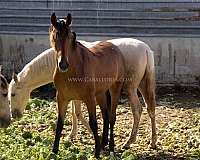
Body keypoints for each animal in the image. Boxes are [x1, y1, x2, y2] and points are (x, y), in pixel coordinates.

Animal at [8, 37, 157, 149]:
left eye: (13, 94)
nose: (14, 115)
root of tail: (145, 49)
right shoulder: (72, 93)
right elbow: (74, 113)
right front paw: (72, 135)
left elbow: (78, 113)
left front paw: (96, 136)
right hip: (143, 85)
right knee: (150, 109)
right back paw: (153, 141)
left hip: (130, 88)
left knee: (137, 110)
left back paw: (129, 141)